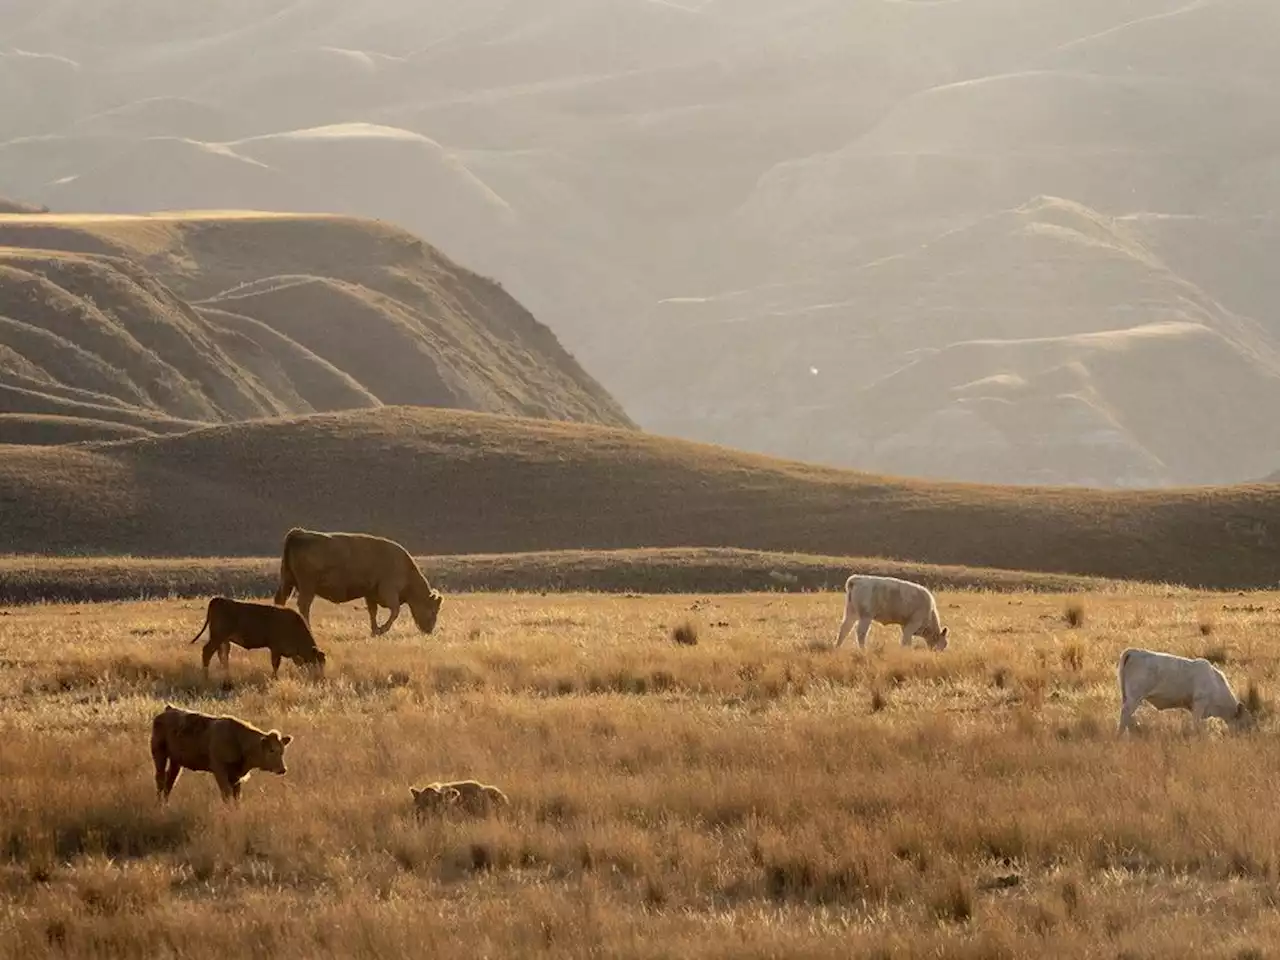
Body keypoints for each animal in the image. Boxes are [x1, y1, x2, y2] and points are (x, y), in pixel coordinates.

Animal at [148, 706, 293, 803]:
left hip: (176, 762)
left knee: (170, 780)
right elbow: (226, 794)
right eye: (271, 750)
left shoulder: (236, 776)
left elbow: (236, 796)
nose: (283, 769)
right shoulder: (219, 770)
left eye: (282, 750)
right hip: (159, 753)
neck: (237, 739)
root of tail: (168, 710)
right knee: (160, 778)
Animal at [192, 599, 330, 680]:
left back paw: (225, 674)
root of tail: (218, 600)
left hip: (223, 640)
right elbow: (275, 664)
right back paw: (206, 676)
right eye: (317, 664)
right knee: (207, 652)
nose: (321, 679)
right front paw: (274, 678)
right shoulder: (276, 649)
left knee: (222, 655)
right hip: (217, 637)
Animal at [275, 527, 445, 640]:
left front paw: (374, 631)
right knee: (304, 605)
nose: (429, 630)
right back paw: (308, 630)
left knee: (281, 601)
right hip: (307, 587)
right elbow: (395, 611)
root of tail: (300, 533)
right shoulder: (389, 591)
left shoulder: (370, 594)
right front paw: (381, 630)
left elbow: (373, 612)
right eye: (433, 610)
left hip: (287, 582)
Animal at [1116, 647, 1254, 737]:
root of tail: (1133, 651)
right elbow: (1196, 726)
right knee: (1125, 715)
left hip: (1129, 698)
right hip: (1134, 698)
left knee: (1129, 717)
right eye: (1245, 724)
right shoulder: (1199, 704)